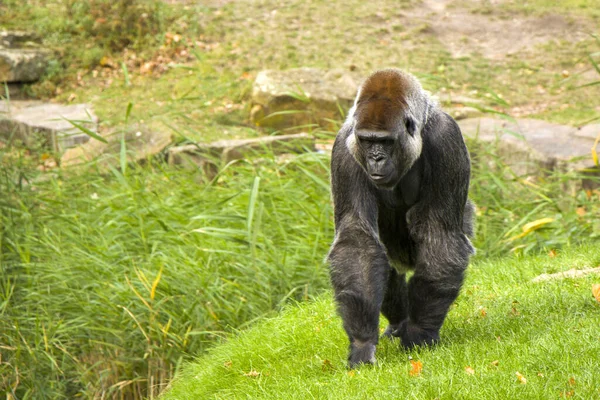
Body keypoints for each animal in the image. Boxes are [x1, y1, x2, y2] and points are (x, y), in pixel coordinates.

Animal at [328, 67, 474, 368]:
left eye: (385, 141)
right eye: (367, 141)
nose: (376, 159)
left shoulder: (447, 138)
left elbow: (439, 233)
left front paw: (420, 332)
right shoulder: (345, 149)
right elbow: (356, 241)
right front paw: (362, 342)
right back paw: (398, 322)